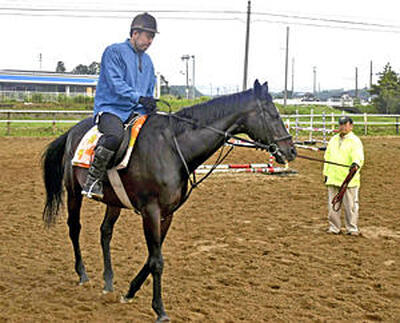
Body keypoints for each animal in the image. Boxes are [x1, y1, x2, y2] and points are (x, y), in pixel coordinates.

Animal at [42, 79, 296, 322]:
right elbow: (157, 261)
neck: (172, 147)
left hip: (114, 202)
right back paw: (82, 274)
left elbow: (152, 257)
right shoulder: (151, 212)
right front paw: (160, 310)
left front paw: (130, 291)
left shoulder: (167, 214)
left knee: (105, 232)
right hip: (74, 192)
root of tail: (72, 131)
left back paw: (108, 282)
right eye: (273, 114)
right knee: (74, 228)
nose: (291, 150)